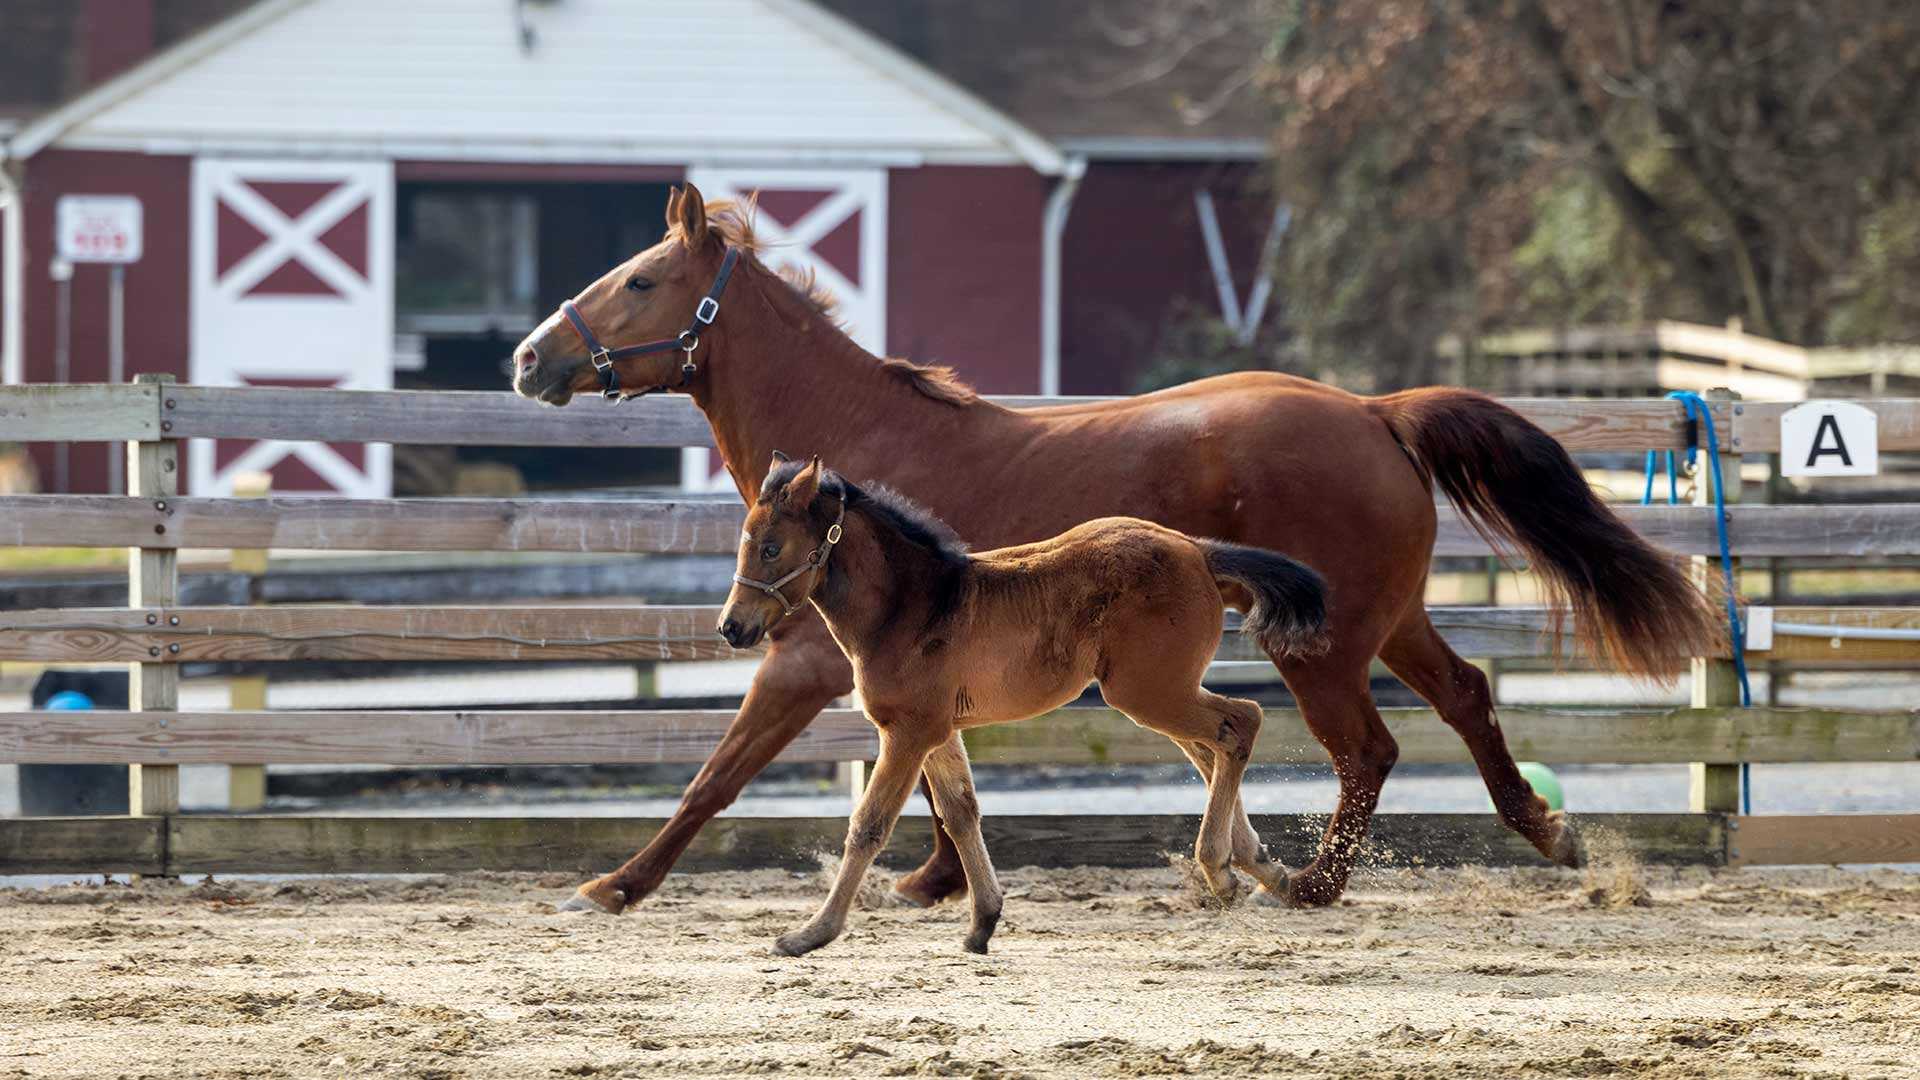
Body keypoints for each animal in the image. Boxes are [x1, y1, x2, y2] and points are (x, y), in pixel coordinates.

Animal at [721, 453, 1336, 949]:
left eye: (771, 548)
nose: (731, 627)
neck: (911, 608)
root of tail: (1197, 550)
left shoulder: (907, 732)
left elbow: (869, 826)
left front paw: (810, 934)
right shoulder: (938, 731)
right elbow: (961, 812)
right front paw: (982, 923)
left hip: (1148, 691)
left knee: (1241, 722)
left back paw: (1220, 868)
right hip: (1161, 690)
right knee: (1215, 746)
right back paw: (1261, 866)